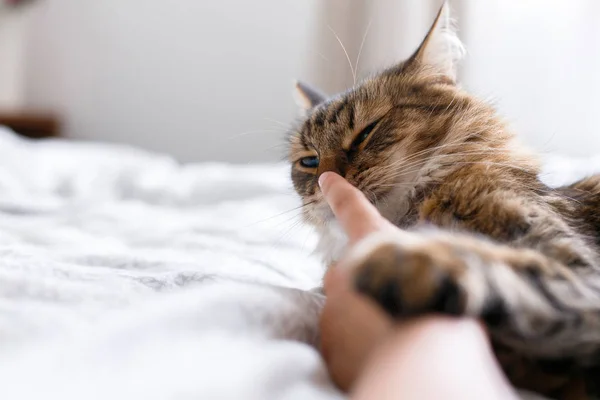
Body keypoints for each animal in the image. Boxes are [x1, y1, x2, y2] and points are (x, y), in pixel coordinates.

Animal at [286, 3, 600, 400]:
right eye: (309, 161)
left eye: (366, 132)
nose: (326, 182)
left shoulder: (578, 264)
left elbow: (499, 264)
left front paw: (402, 261)